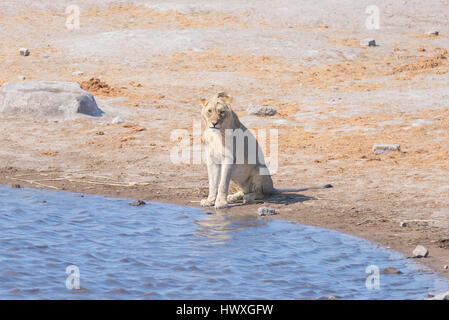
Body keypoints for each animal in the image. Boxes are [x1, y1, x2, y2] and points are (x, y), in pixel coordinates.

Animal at [199, 92, 328, 210]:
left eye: (222, 112)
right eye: (209, 111)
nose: (214, 123)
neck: (215, 135)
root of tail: (272, 187)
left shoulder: (229, 159)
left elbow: (222, 184)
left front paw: (221, 203)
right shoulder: (211, 160)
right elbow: (212, 183)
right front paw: (209, 201)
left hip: (261, 169)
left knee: (261, 194)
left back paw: (248, 197)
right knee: (245, 190)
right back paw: (234, 196)